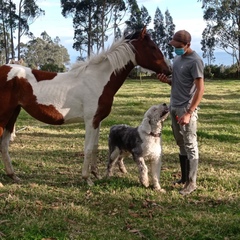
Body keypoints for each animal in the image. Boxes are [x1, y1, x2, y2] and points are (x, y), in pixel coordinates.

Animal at [0, 26, 172, 185]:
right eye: (152, 47)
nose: (168, 70)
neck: (98, 80)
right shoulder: (91, 121)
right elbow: (88, 148)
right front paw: (87, 178)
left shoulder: (98, 121)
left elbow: (94, 146)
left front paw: (95, 174)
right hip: (5, 115)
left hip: (13, 114)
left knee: (4, 144)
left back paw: (13, 175)